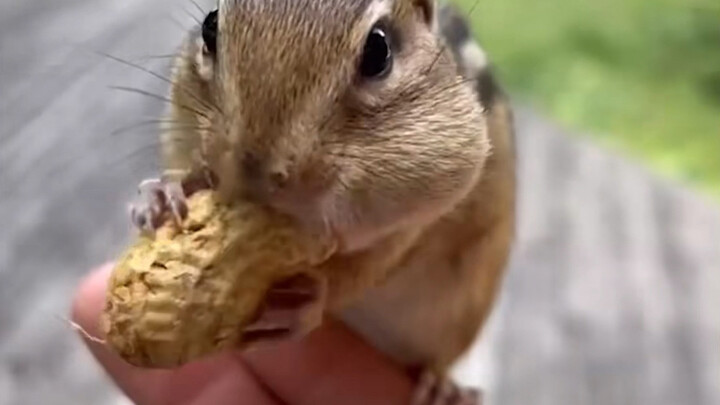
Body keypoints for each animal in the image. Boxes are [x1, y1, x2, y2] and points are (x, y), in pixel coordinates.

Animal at [129, 1, 516, 404]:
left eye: (378, 51)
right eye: (209, 26)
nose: (254, 173)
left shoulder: (416, 222)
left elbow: (365, 269)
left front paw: (312, 300)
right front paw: (163, 193)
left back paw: (442, 387)